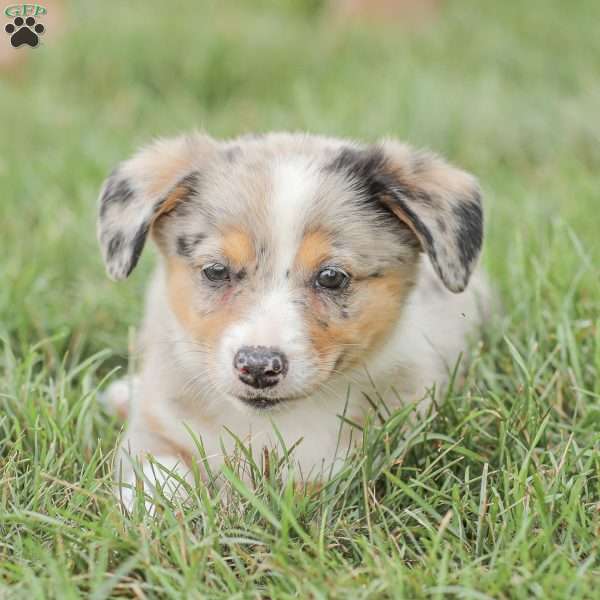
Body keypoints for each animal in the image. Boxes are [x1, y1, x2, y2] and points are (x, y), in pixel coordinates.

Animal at [98, 131, 490, 506]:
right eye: (216, 270)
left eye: (331, 277)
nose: (258, 367)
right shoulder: (158, 424)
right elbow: (159, 473)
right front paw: (157, 511)